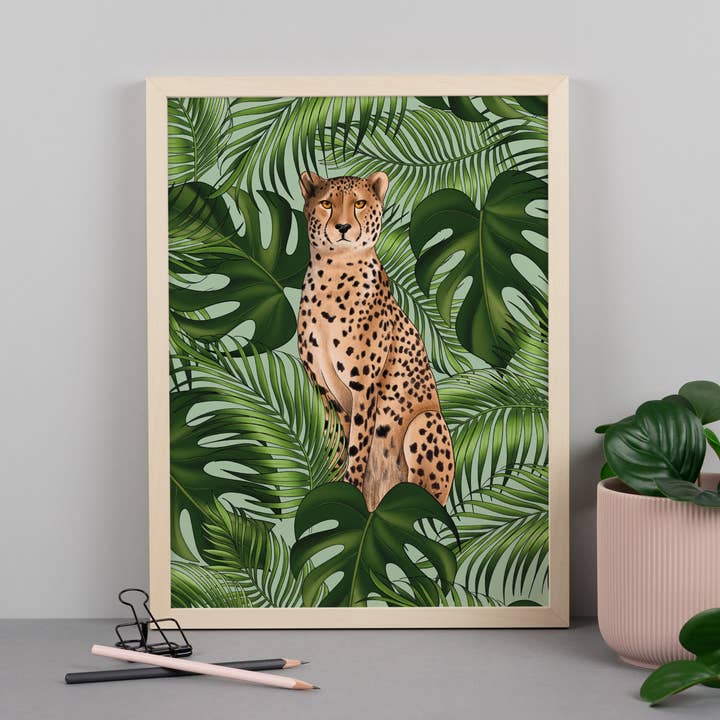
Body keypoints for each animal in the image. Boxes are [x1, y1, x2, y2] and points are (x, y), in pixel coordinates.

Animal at [297, 170, 455, 512]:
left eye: (359, 203)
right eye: (327, 203)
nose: (343, 227)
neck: (334, 271)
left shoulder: (364, 386)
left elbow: (358, 445)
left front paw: (350, 487)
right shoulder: (325, 392)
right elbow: (339, 443)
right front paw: (332, 485)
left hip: (425, 421)